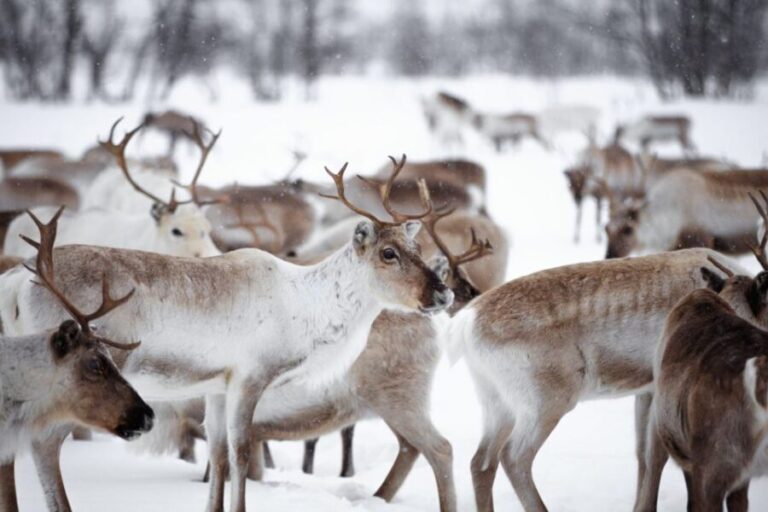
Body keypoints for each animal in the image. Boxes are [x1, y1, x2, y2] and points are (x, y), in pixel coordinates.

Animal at [441, 246, 750, 512]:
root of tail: (465, 323)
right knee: (513, 457)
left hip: (496, 402)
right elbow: (658, 455)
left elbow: (643, 454)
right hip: (546, 402)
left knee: (481, 462)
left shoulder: (647, 390)